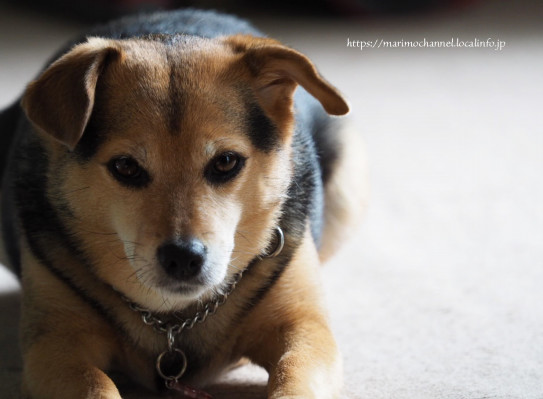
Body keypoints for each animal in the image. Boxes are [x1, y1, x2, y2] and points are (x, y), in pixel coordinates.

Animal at [0, 7, 368, 398]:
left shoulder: (305, 329)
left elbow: (294, 375)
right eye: (125, 167)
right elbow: (95, 384)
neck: (174, 318)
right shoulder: (55, 345)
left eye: (226, 162)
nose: (183, 258)